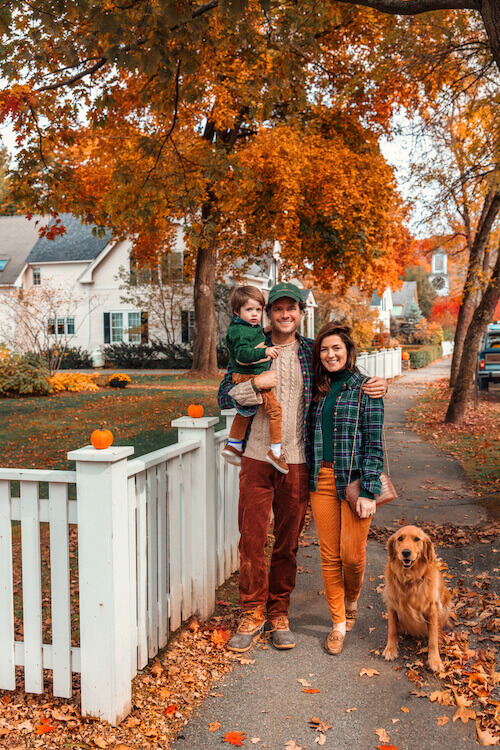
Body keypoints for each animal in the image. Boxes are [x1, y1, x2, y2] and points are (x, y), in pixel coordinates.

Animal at [382, 524, 454, 672]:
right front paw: (390, 649)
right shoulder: (392, 605)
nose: (406, 552)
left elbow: (433, 639)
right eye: (400, 538)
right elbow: (392, 629)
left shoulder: (432, 609)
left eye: (417, 539)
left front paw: (435, 660)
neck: (409, 579)